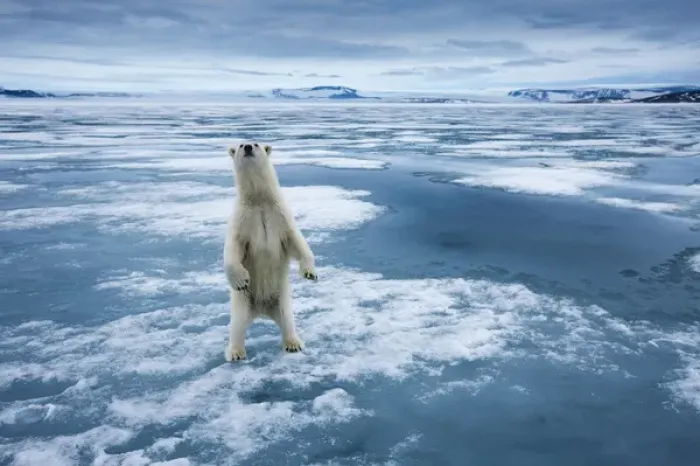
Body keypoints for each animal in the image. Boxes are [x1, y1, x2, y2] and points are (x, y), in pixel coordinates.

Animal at [223, 142, 318, 361]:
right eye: (240, 145)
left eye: (256, 143)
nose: (248, 147)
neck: (259, 200)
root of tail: (261, 310)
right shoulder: (243, 219)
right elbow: (233, 249)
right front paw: (241, 280)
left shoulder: (280, 216)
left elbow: (297, 242)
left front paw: (310, 273)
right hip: (244, 300)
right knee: (238, 323)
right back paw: (236, 352)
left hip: (281, 297)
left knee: (287, 317)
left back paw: (293, 343)